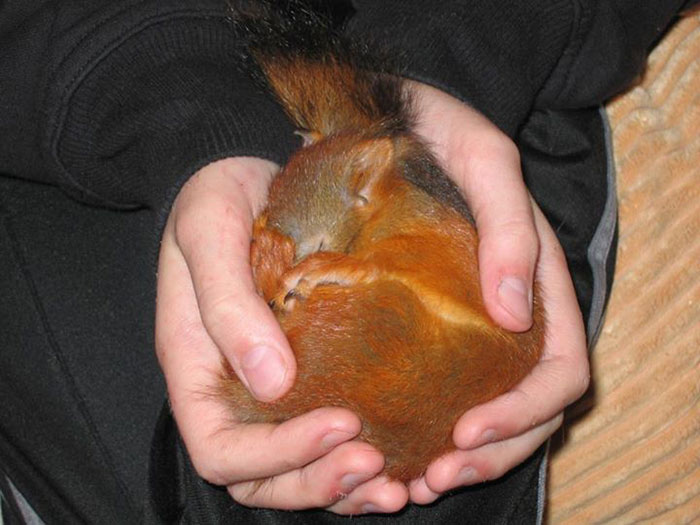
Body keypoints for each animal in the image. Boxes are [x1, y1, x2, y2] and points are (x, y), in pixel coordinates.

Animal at [218, 1, 545, 483]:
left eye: (319, 243)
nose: (275, 301)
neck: (384, 212)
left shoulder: (443, 238)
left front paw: (335, 267)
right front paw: (265, 254)